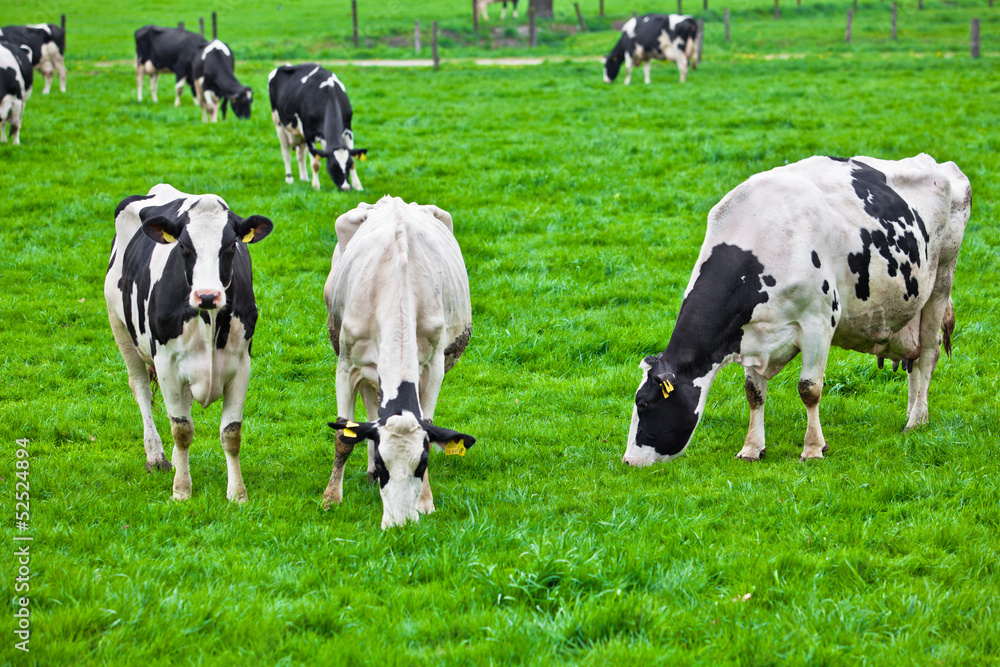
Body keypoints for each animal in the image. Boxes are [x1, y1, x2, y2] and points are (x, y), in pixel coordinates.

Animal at [104, 184, 274, 502]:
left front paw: (237, 494)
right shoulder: (166, 365)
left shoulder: (241, 365)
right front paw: (181, 490)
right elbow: (182, 430)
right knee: (141, 389)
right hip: (119, 326)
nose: (207, 295)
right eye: (184, 247)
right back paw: (156, 456)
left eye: (230, 246)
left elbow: (231, 433)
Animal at [322, 196, 475, 529]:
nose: (400, 523)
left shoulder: (433, 367)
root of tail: (395, 201)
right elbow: (343, 435)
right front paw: (331, 498)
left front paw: (426, 502)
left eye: (422, 463)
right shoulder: (346, 365)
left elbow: (428, 423)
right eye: (383, 464)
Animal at [622, 154, 970, 467]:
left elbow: (809, 389)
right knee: (914, 363)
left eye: (644, 403)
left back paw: (916, 420)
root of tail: (938, 164)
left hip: (941, 281)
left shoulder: (819, 323)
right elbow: (754, 393)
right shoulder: (750, 334)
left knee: (928, 355)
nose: (628, 461)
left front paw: (813, 449)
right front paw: (752, 449)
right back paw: (914, 414)